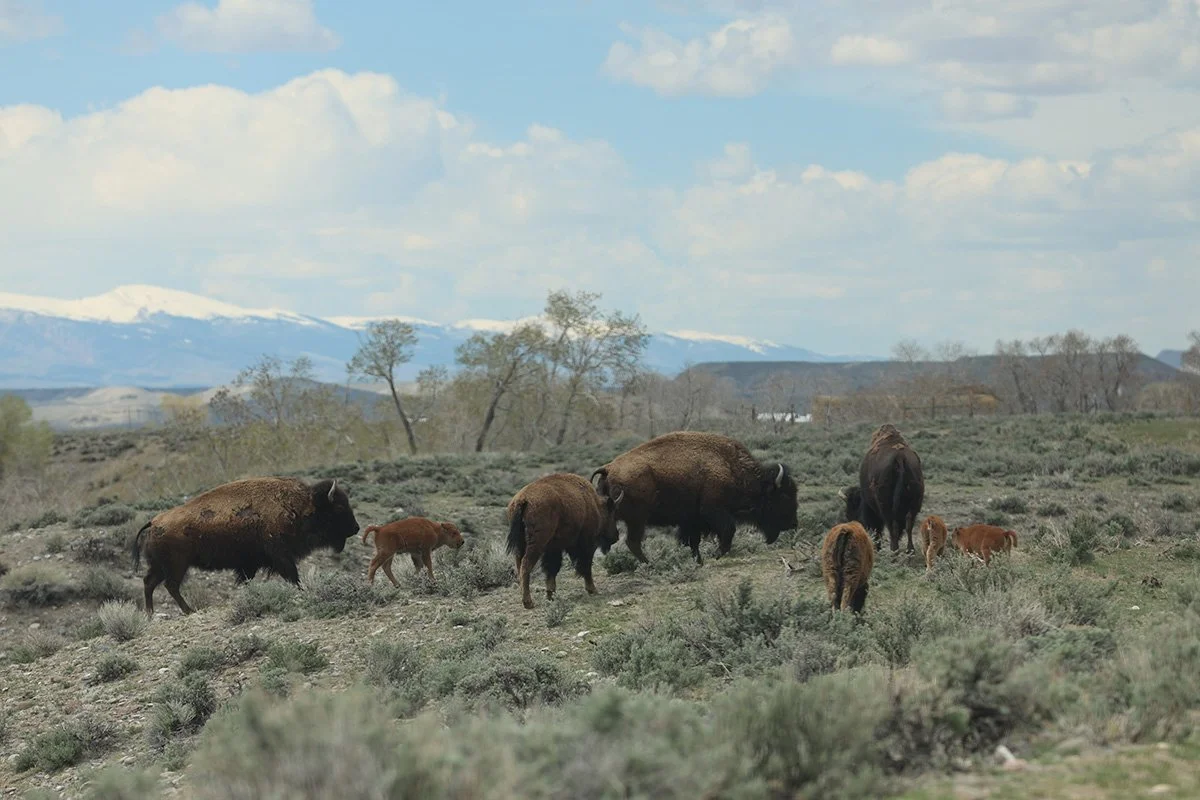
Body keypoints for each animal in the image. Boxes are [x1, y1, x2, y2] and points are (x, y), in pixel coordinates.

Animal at [131, 476, 360, 616]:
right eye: (339, 507)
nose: (356, 528)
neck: (301, 506)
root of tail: (155, 521)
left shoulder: (250, 565)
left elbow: (248, 580)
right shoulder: (281, 556)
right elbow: (292, 575)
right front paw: (301, 592)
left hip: (160, 566)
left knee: (149, 582)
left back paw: (151, 614)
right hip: (177, 565)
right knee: (170, 585)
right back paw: (188, 611)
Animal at [506, 472, 623, 610]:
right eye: (612, 513)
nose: (616, 536)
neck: (594, 503)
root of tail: (522, 500)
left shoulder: (554, 548)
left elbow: (552, 569)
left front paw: (550, 595)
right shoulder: (586, 544)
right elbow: (586, 565)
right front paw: (592, 589)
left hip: (521, 545)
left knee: (519, 565)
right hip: (536, 544)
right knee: (525, 565)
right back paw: (528, 602)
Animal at [591, 431, 798, 564]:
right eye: (784, 496)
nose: (793, 524)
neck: (730, 466)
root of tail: (608, 468)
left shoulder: (691, 520)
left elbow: (692, 541)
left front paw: (697, 561)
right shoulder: (713, 511)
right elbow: (728, 530)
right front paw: (715, 555)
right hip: (638, 519)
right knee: (632, 542)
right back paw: (650, 564)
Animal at [839, 423, 925, 554]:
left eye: (851, 511)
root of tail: (899, 457)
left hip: (886, 506)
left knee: (892, 525)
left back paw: (894, 550)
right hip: (915, 501)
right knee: (909, 523)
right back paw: (910, 550)